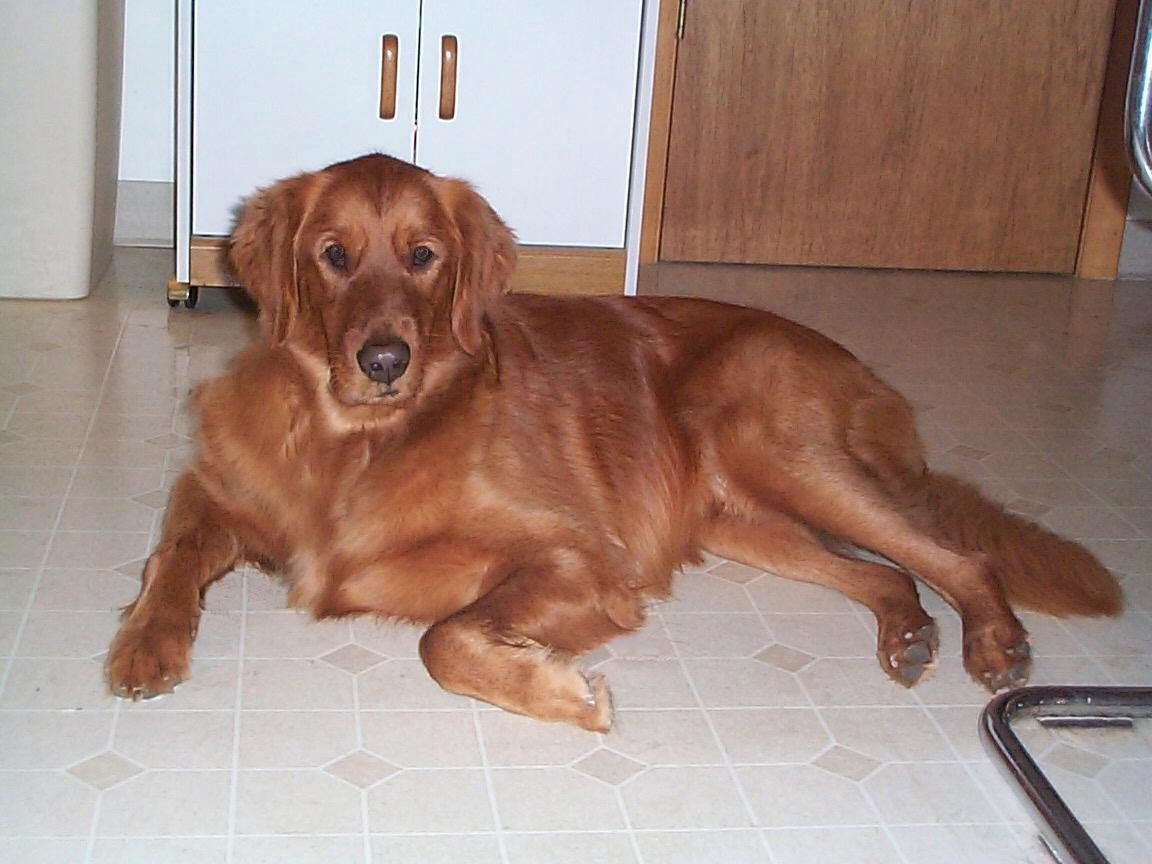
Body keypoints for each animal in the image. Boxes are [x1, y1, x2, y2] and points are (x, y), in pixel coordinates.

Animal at [105, 153, 1122, 731]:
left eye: (424, 256)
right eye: (333, 254)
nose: (384, 359)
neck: (355, 440)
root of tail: (852, 361)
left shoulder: (578, 554)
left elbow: (444, 638)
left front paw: (561, 694)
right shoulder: (219, 487)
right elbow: (169, 552)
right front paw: (146, 642)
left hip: (786, 459)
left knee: (958, 557)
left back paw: (993, 642)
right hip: (744, 518)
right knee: (887, 575)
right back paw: (909, 633)